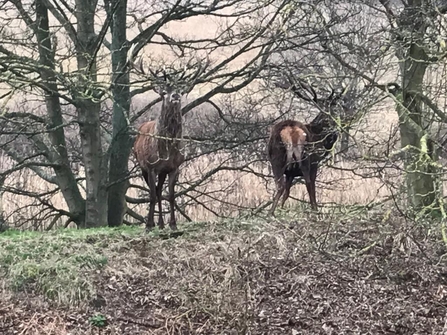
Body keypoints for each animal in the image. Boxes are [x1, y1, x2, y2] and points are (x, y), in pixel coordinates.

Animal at [270, 78, 344, 215]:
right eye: (326, 113)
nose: (334, 131)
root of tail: (291, 130)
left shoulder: (291, 173)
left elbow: (287, 193)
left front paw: (281, 209)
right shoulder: (314, 163)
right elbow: (311, 188)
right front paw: (315, 209)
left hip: (276, 159)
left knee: (280, 186)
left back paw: (271, 212)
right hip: (303, 159)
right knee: (308, 184)